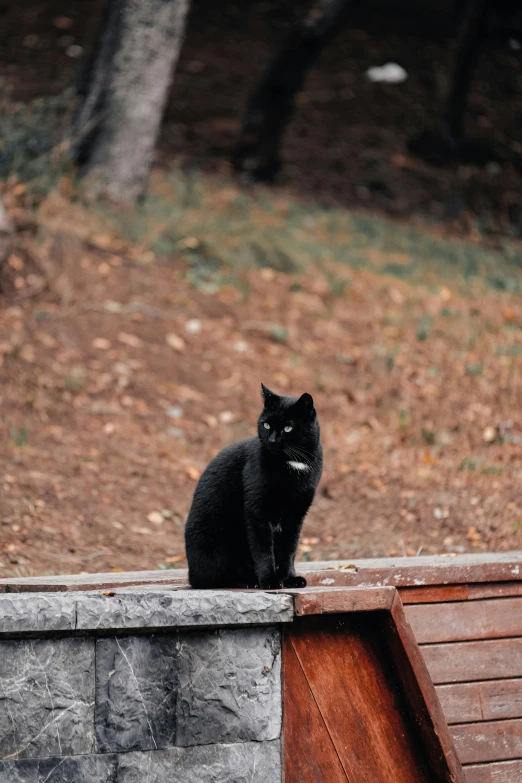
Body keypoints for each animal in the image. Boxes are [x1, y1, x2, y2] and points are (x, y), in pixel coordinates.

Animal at [183, 382, 320, 592]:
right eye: (266, 425)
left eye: (288, 427)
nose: (272, 440)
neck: (294, 464)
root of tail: (191, 573)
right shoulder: (257, 511)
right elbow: (263, 551)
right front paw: (270, 580)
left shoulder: (296, 515)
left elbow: (289, 550)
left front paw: (289, 579)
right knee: (214, 578)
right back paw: (249, 581)